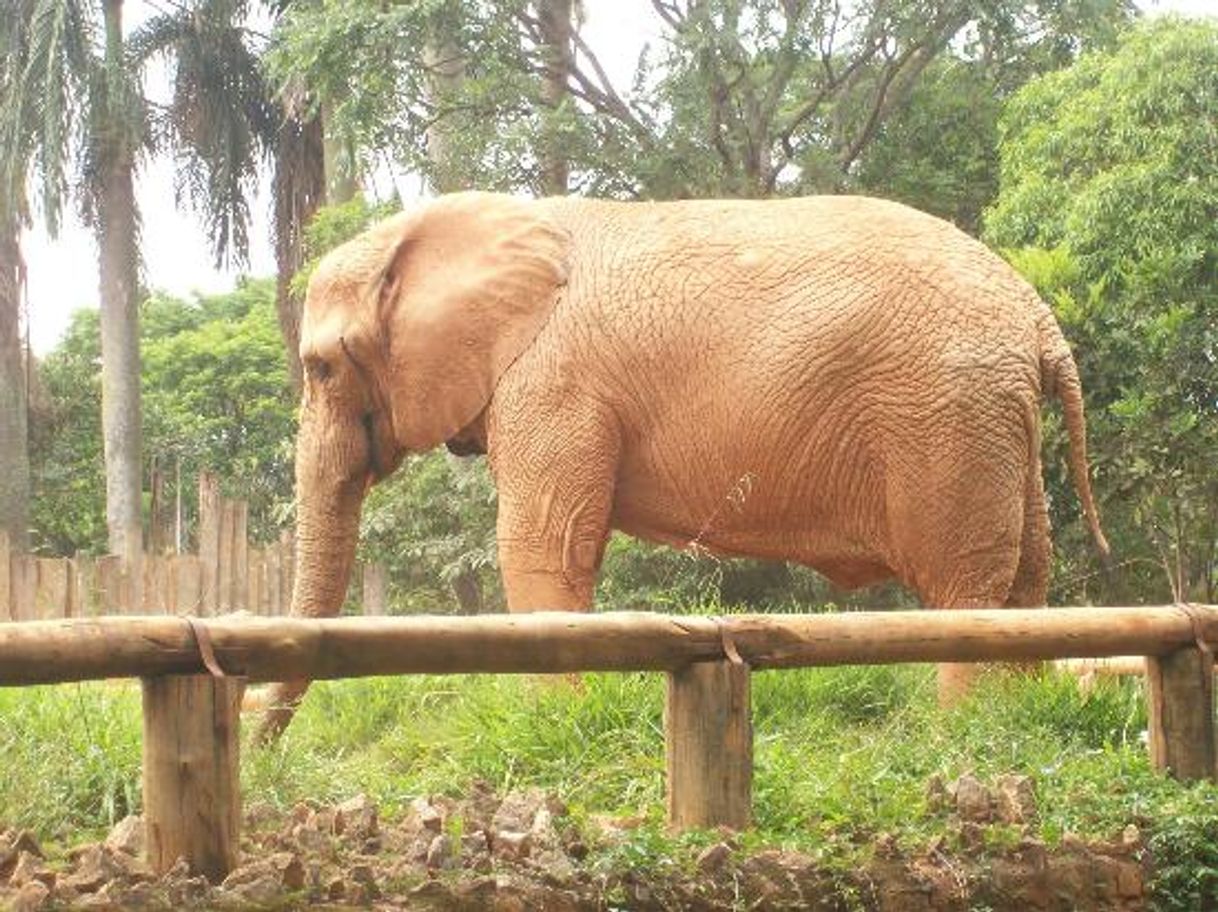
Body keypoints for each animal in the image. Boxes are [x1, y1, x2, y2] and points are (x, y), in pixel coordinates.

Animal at [254, 192, 1105, 740]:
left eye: (321, 367)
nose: (266, 754)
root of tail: (1039, 318)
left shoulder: (554, 385)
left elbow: (542, 547)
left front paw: (557, 726)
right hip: (996, 421)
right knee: (1029, 573)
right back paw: (1021, 722)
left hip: (948, 418)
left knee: (967, 583)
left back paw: (964, 734)